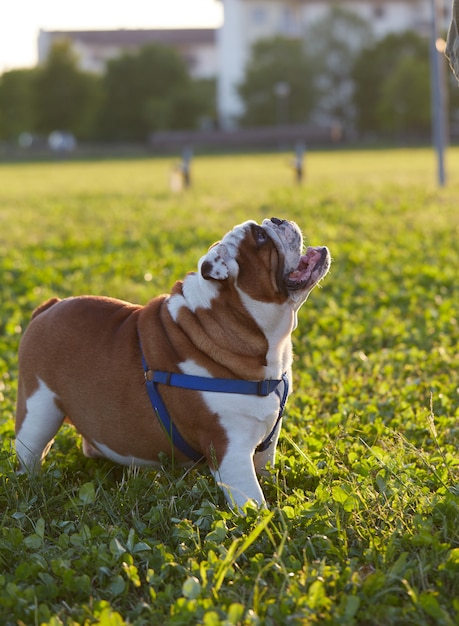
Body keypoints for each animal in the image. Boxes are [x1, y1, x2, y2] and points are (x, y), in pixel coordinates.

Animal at [14, 217, 330, 510]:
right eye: (261, 237)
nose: (277, 220)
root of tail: (50, 305)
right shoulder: (230, 452)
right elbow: (253, 503)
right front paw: (263, 522)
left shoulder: (267, 445)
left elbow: (267, 470)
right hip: (39, 412)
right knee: (29, 452)